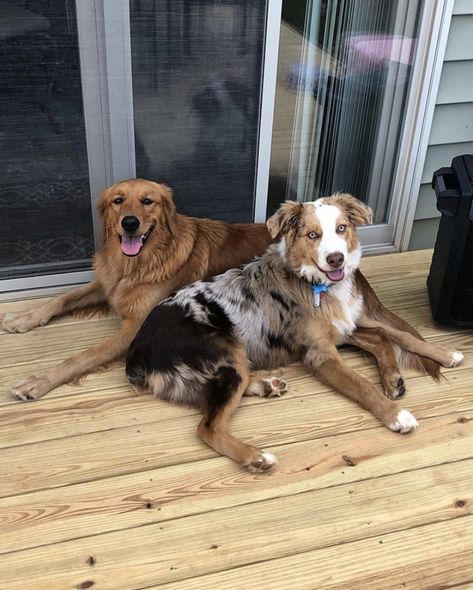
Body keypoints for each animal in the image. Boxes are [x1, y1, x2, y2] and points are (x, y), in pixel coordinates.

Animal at [2, 180, 272, 402]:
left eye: (147, 201)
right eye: (118, 200)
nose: (129, 223)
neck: (135, 265)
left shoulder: (136, 326)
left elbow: (86, 354)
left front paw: (40, 379)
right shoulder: (107, 285)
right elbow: (61, 298)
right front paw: (24, 318)